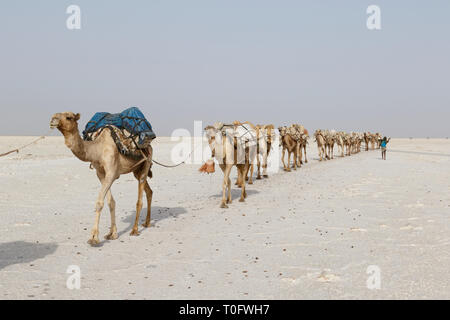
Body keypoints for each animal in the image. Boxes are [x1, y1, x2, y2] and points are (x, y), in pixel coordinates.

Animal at [50, 112, 154, 245]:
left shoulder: (111, 172)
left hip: (147, 161)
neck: (98, 149)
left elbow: (99, 202)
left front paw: (94, 237)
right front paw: (112, 234)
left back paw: (135, 230)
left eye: (69, 117)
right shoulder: (101, 174)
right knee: (149, 191)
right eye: (55, 115)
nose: (53, 120)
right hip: (136, 169)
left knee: (140, 197)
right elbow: (111, 202)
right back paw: (146, 222)